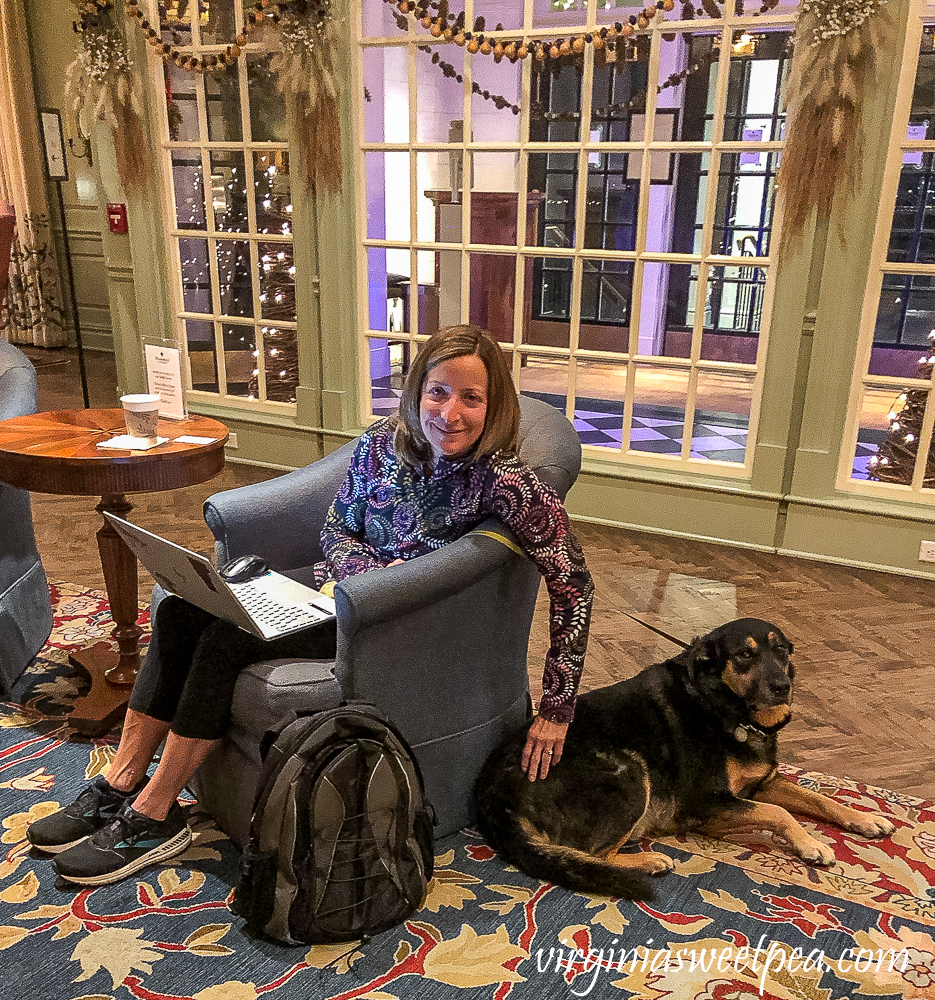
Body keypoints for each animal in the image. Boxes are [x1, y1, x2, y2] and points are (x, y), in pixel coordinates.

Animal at [478, 616, 896, 900]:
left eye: (781, 650)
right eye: (745, 655)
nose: (784, 687)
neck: (724, 704)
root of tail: (490, 795)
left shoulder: (763, 784)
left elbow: (819, 798)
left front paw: (865, 819)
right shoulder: (705, 803)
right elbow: (780, 813)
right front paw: (812, 844)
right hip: (629, 771)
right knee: (591, 853)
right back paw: (648, 862)